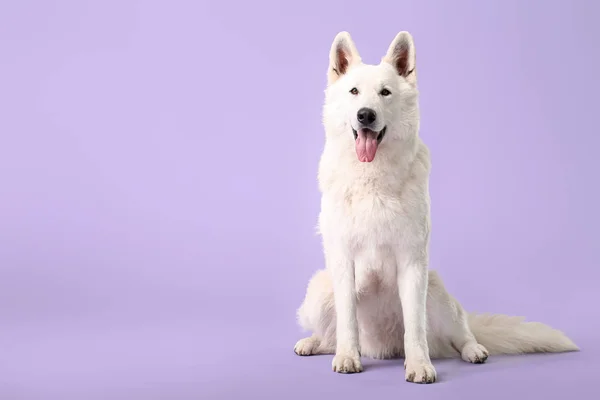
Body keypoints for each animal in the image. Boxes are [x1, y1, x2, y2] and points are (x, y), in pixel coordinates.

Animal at [292, 32, 580, 384]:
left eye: (385, 93)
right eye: (354, 92)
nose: (365, 115)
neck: (373, 178)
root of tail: (381, 348)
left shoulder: (413, 263)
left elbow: (415, 328)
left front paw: (419, 366)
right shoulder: (343, 262)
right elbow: (347, 322)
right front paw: (347, 357)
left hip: (436, 290)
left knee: (459, 333)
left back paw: (473, 350)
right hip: (319, 289)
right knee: (332, 335)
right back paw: (316, 343)